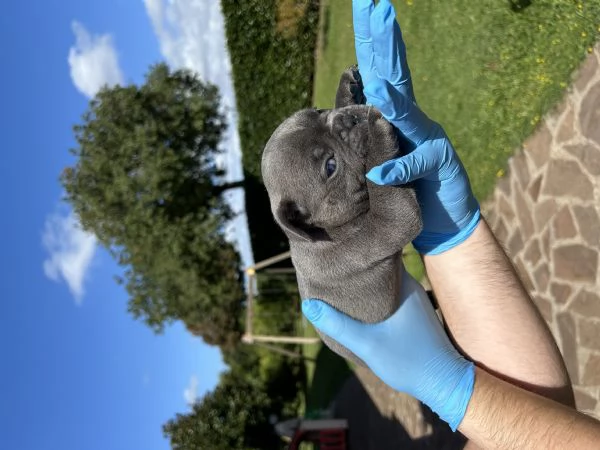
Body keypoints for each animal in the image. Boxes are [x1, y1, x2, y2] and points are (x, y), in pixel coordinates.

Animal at [262, 67, 422, 362]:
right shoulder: (390, 222)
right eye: (330, 166)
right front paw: (377, 132)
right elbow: (384, 191)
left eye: (319, 111)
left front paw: (346, 90)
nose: (349, 119)